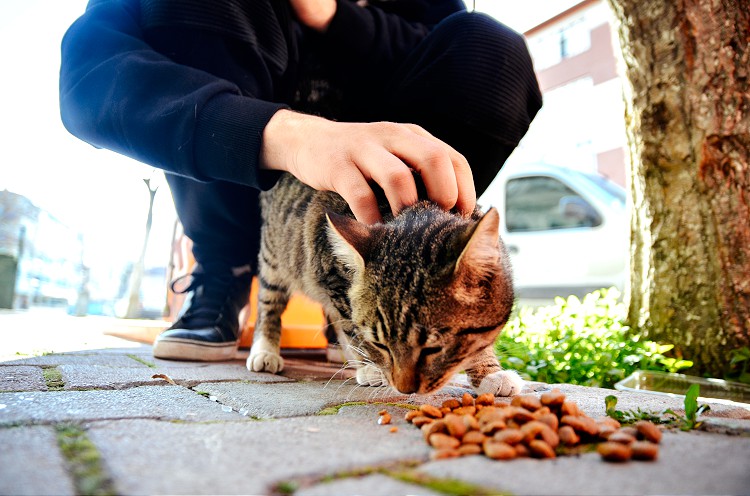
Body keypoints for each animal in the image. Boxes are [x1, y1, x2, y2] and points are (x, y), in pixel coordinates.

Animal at [247, 172, 524, 398]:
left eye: (433, 348)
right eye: (381, 343)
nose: (405, 389)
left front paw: (489, 372)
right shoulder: (331, 276)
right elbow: (352, 327)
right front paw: (370, 366)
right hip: (275, 256)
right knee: (269, 303)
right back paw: (265, 350)